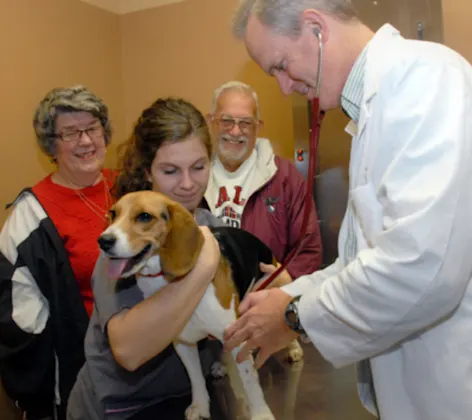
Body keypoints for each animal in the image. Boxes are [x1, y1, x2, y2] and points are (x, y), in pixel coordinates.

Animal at [97, 190, 302, 420]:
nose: (103, 241)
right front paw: (200, 406)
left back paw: (294, 349)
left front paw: (261, 414)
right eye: (113, 214)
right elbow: (195, 378)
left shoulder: (237, 336)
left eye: (144, 216)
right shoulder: (183, 342)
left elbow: (250, 382)